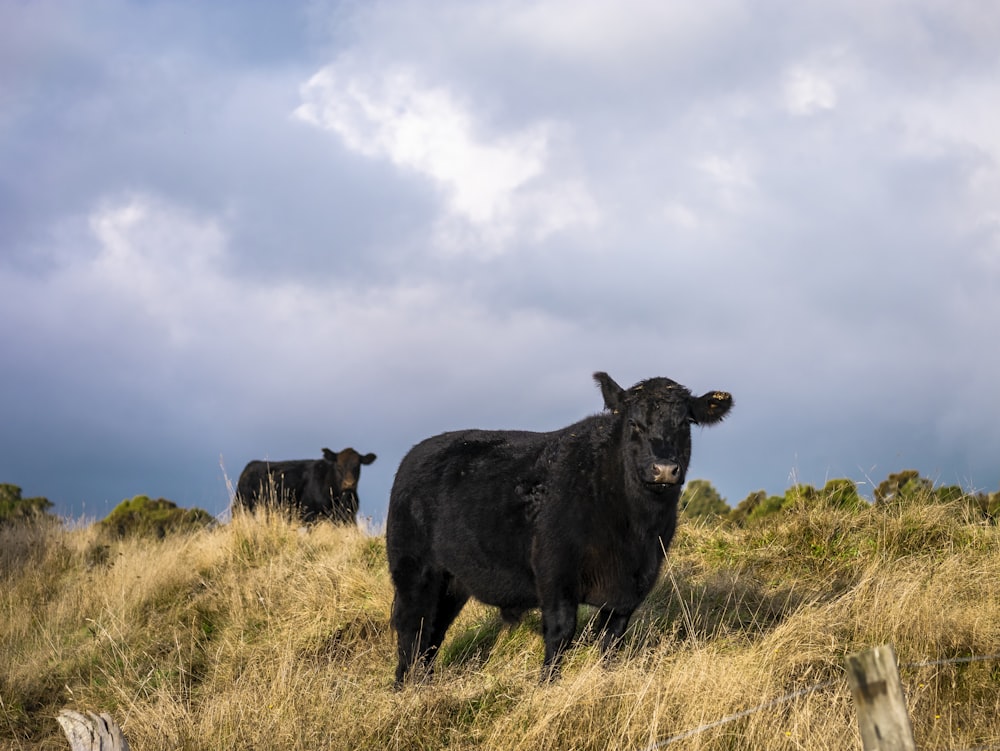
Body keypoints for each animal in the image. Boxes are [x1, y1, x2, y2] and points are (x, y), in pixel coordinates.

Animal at [234, 446, 376, 524]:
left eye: (357, 466)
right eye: (339, 466)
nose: (349, 484)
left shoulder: (348, 517)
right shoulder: (310, 515)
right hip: (242, 507)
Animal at [386, 374, 732, 684]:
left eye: (684, 423)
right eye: (634, 423)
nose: (663, 469)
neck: (634, 530)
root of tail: (418, 452)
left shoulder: (635, 585)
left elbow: (612, 641)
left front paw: (606, 681)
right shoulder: (555, 571)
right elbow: (561, 632)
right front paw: (547, 685)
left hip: (453, 582)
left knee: (433, 633)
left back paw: (423, 684)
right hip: (415, 570)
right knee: (413, 627)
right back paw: (407, 687)